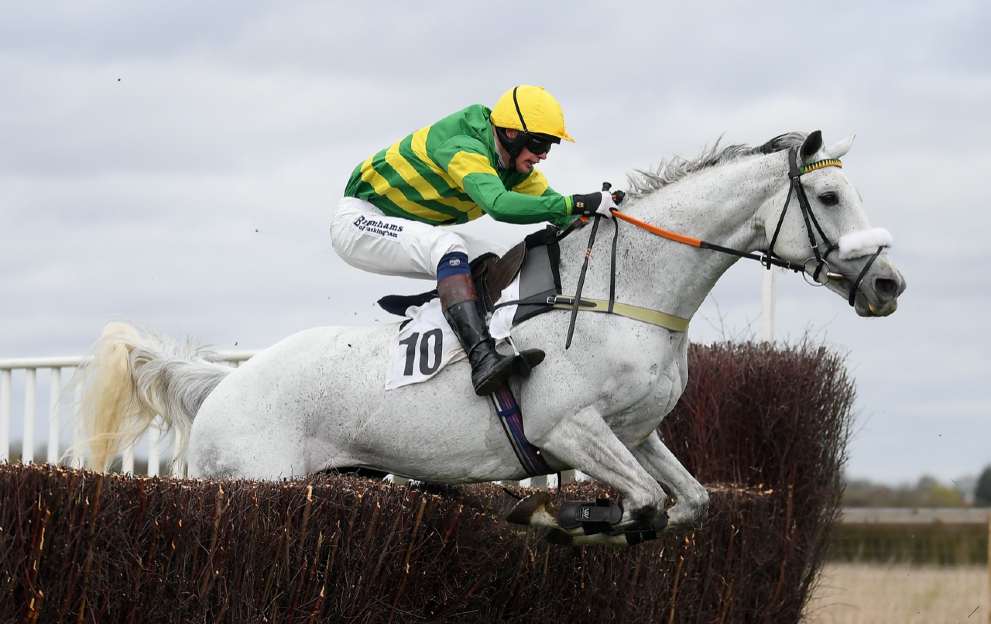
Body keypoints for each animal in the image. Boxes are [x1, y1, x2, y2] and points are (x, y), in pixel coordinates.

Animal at [72, 130, 906, 547]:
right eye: (828, 195)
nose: (888, 285)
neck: (629, 295)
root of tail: (224, 384)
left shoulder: (635, 431)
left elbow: (689, 502)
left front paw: (578, 520)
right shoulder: (566, 428)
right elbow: (637, 503)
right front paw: (557, 517)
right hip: (252, 478)